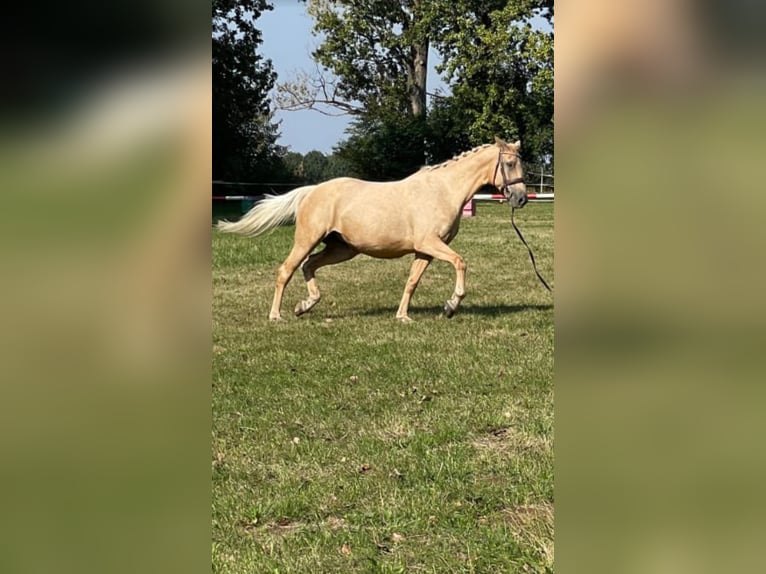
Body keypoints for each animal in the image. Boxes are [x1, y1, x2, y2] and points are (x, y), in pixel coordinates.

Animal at [216, 137, 528, 321]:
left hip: (342, 248)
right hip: (308, 239)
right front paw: (451, 305)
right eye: (510, 163)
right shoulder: (430, 244)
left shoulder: (424, 251)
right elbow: (460, 262)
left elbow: (412, 281)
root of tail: (312, 191)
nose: (521, 198)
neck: (443, 190)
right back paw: (276, 315)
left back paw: (305, 305)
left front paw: (403, 316)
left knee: (309, 265)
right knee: (287, 270)